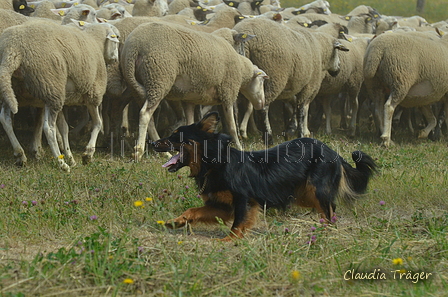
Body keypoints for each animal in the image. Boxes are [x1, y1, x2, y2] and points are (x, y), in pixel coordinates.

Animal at [0, 19, 120, 170]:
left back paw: (20, 155)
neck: (95, 42)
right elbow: (98, 123)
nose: (116, 59)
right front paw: (87, 154)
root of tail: (12, 48)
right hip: (51, 87)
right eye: (116, 39)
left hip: (15, 89)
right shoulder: (93, 94)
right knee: (48, 128)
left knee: (5, 119)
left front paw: (70, 157)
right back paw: (61, 163)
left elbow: (64, 128)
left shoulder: (63, 98)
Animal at [120, 22, 266, 160]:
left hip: (140, 87)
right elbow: (232, 127)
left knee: (148, 119)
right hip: (158, 78)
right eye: (261, 81)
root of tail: (134, 46)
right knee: (145, 114)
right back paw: (138, 152)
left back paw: (165, 153)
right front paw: (240, 148)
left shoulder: (188, 99)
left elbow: (190, 124)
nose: (262, 104)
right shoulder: (228, 92)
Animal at [152, 112, 376, 239]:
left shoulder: (243, 201)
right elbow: (193, 210)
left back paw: (326, 232)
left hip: (316, 190)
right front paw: (176, 222)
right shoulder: (221, 206)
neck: (215, 163)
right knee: (330, 210)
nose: (152, 143)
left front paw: (229, 241)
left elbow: (238, 224)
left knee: (329, 212)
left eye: (176, 136)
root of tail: (334, 153)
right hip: (304, 194)